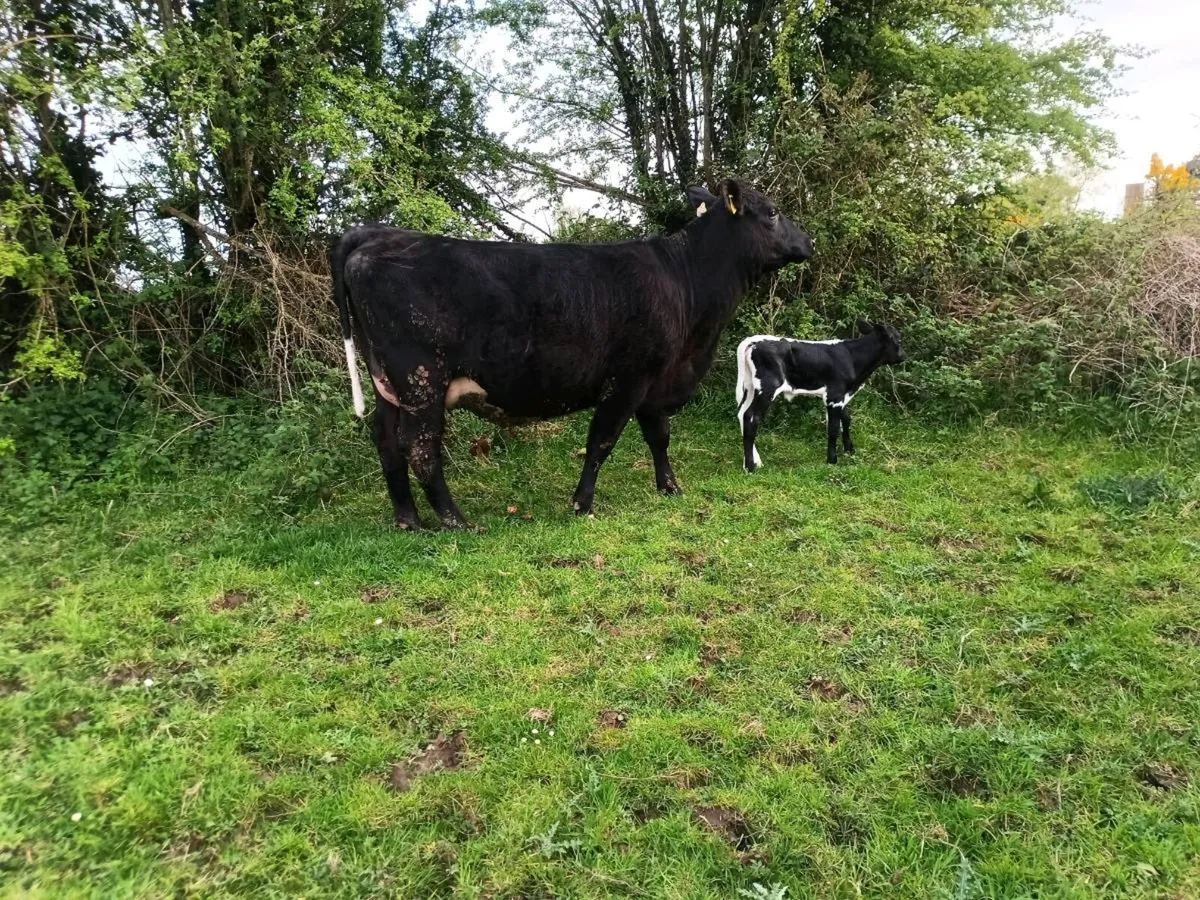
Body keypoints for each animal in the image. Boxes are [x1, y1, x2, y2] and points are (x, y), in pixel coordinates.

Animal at [330, 179, 813, 529]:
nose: (807, 242)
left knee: (386, 442)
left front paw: (670, 488)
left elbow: (659, 436)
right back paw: (455, 521)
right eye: (772, 211)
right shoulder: (628, 379)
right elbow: (601, 441)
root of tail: (375, 233)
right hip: (421, 380)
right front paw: (582, 504)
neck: (686, 281)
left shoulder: (657, 382)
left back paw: (408, 519)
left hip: (389, 385)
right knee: (420, 447)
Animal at [735, 323, 905, 470]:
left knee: (742, 415)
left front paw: (850, 451)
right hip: (767, 387)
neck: (853, 358)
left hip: (751, 388)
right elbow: (833, 428)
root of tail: (754, 340)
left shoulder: (843, 396)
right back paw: (750, 466)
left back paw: (754, 461)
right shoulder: (834, 396)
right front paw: (832, 460)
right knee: (751, 417)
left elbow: (846, 420)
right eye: (899, 339)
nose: (904, 356)